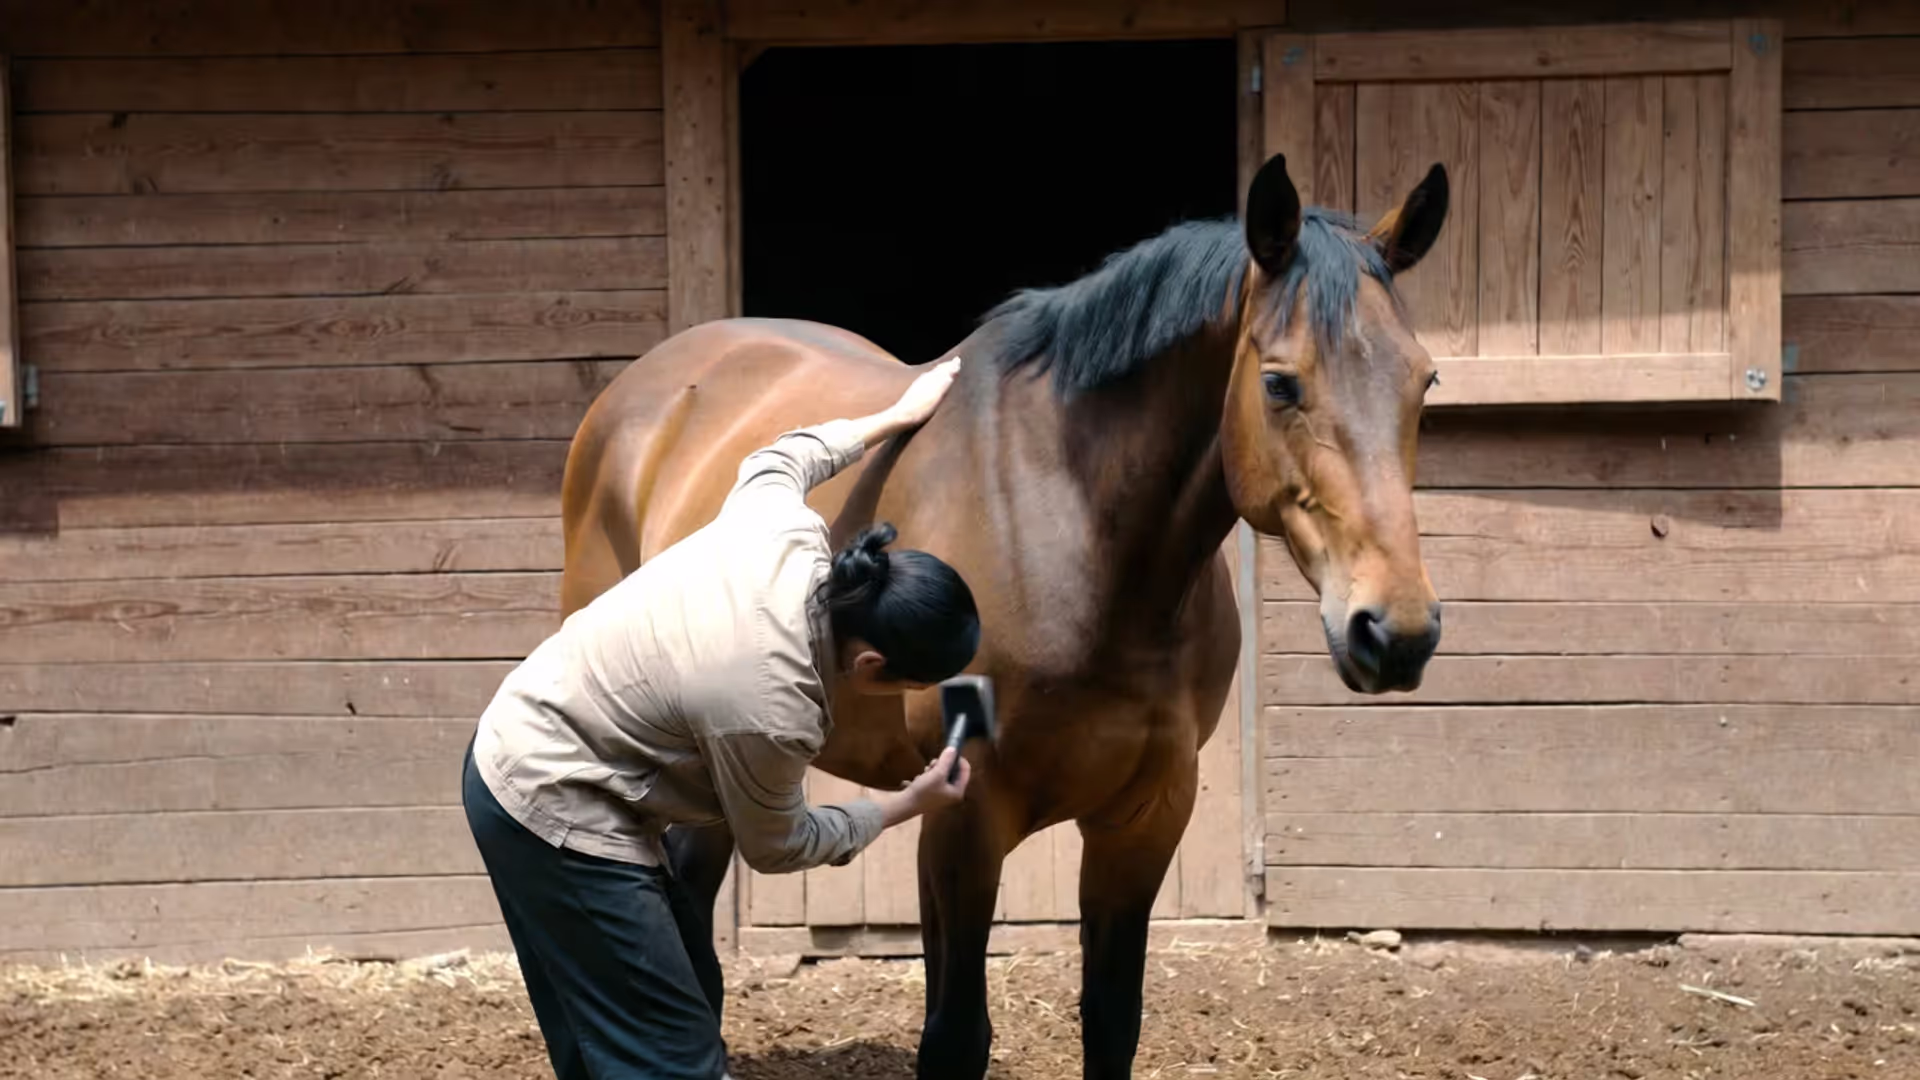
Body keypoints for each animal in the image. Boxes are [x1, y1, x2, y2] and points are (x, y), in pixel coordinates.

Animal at [557, 151, 1448, 1079]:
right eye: (1279, 382)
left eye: (1425, 380)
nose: (1396, 630)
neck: (1080, 531)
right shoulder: (967, 813)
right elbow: (956, 1035)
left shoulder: (1147, 813)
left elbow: (1112, 1020)